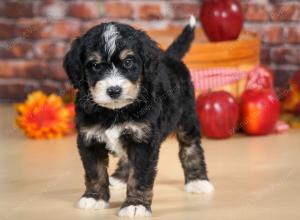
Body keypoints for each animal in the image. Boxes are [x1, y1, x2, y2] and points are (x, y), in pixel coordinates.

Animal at [63, 16, 213, 217]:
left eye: (128, 62)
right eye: (95, 65)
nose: (114, 90)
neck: (115, 111)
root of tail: (170, 57)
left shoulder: (144, 141)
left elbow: (139, 175)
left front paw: (135, 205)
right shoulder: (89, 138)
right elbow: (95, 171)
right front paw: (94, 197)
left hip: (187, 116)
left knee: (191, 147)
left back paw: (197, 181)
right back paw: (119, 178)